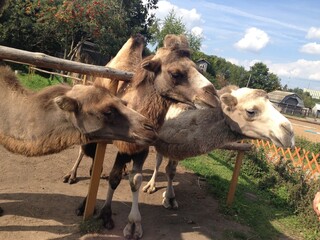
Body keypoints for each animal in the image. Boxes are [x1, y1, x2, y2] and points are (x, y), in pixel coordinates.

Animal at [76, 34, 219, 240]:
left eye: (198, 67)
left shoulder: (140, 147)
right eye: (175, 73)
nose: (213, 96)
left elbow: (134, 180)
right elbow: (106, 174)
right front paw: (98, 211)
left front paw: (133, 224)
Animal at [143, 85, 296, 209]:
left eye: (274, 106)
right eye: (251, 111)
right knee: (158, 160)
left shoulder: (175, 148)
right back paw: (150, 186)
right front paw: (166, 197)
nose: (289, 133)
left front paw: (170, 198)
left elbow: (171, 171)